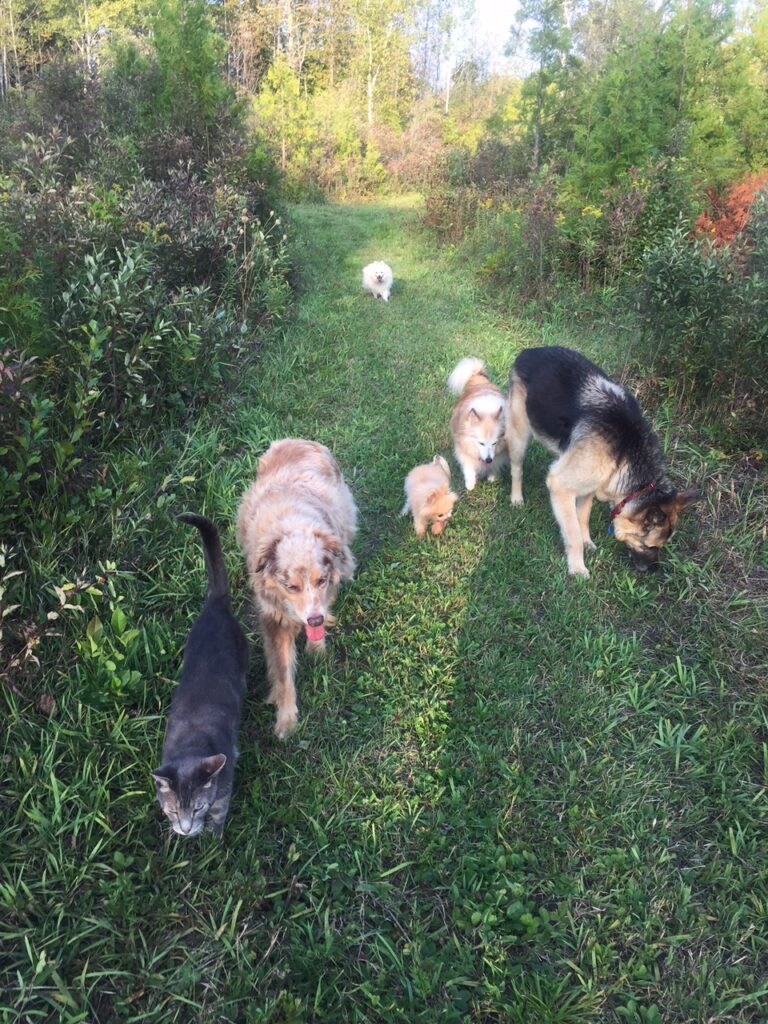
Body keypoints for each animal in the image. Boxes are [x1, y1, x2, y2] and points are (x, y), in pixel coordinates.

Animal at [149, 516, 246, 835]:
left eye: (197, 808)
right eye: (172, 811)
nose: (186, 829)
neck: (192, 746)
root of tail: (215, 603)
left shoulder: (223, 785)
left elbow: (220, 811)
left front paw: (214, 836)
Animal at [237, 436, 358, 741]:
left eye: (321, 580)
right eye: (290, 586)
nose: (313, 620)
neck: (292, 522)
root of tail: (298, 440)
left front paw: (316, 647)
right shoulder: (273, 617)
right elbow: (282, 673)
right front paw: (286, 719)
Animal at [448, 356, 507, 491]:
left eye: (495, 443)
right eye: (481, 443)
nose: (488, 459)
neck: (487, 410)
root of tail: (477, 375)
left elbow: (496, 463)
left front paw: (491, 476)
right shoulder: (464, 448)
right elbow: (468, 467)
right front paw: (470, 483)